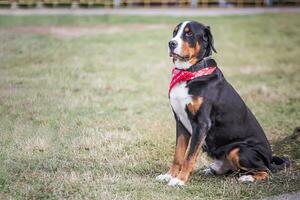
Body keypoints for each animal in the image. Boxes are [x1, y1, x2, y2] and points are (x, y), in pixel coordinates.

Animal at [156, 20, 290, 186]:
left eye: (189, 33)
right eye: (175, 32)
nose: (171, 43)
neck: (190, 73)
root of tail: (269, 159)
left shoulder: (201, 123)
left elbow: (189, 156)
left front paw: (179, 180)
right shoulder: (180, 122)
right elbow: (178, 155)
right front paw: (169, 175)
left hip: (238, 150)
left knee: (265, 171)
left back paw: (248, 177)